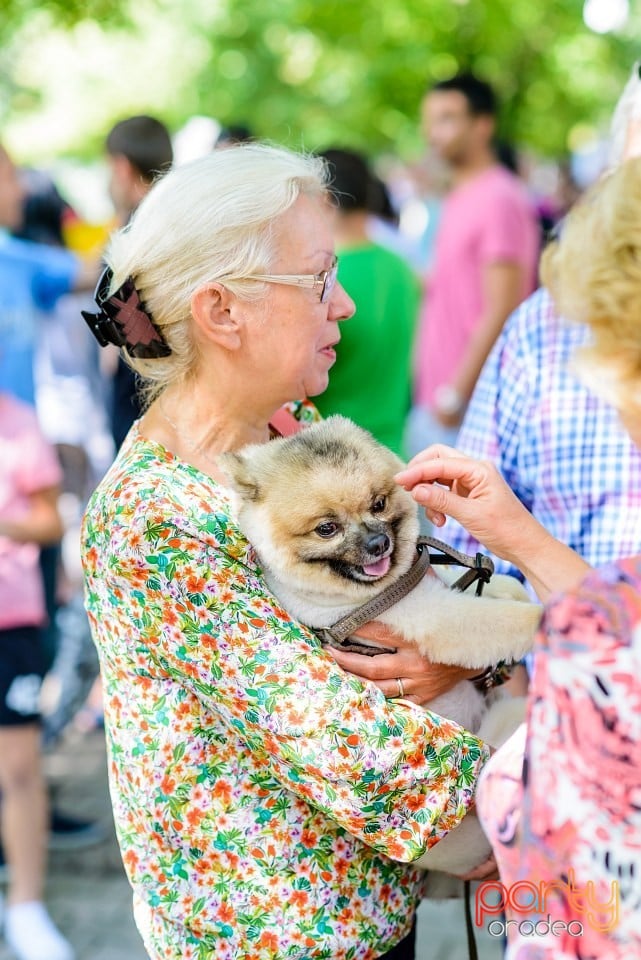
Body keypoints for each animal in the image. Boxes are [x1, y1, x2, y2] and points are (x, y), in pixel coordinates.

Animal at [218, 416, 536, 872]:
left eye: (379, 504)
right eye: (327, 528)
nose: (377, 544)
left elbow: (491, 587)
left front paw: (517, 590)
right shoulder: (435, 617)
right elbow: (501, 620)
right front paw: (554, 612)